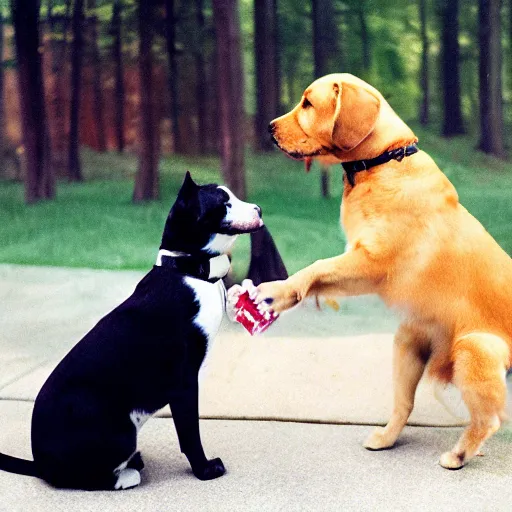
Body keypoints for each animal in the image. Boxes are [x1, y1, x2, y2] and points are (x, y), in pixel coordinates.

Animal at [0, 174, 264, 490]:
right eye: (224, 204)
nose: (259, 209)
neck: (185, 270)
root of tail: (39, 464)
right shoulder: (185, 382)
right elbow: (190, 434)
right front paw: (204, 470)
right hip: (121, 430)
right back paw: (128, 475)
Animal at [256, 72, 512, 468]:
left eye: (308, 103)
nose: (267, 127)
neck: (383, 160)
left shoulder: (371, 263)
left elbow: (316, 267)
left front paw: (279, 291)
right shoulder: (360, 267)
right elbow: (320, 276)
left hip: (474, 349)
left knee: (490, 419)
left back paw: (459, 453)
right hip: (408, 340)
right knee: (404, 404)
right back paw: (388, 437)